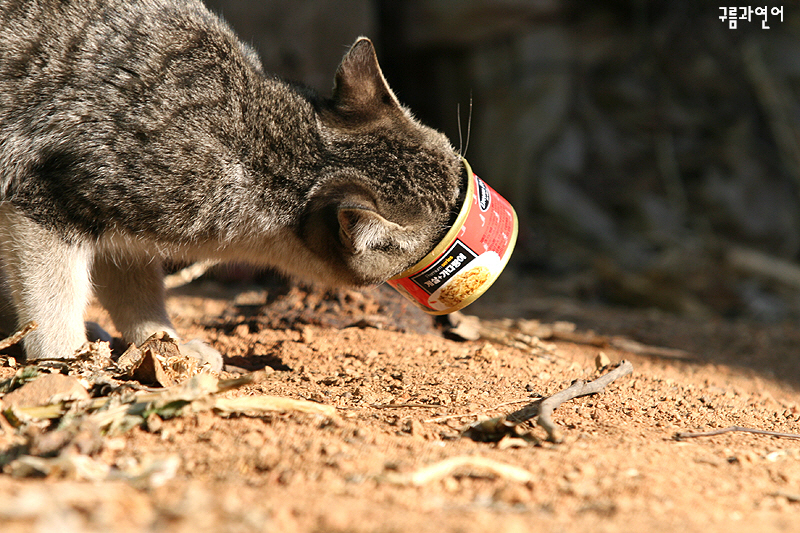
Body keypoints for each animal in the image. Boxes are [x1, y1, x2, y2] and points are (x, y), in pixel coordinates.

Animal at [0, 0, 462, 370]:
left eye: (463, 174)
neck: (261, 145)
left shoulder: (128, 228)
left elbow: (138, 296)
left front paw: (163, 344)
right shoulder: (43, 197)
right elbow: (54, 293)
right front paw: (65, 356)